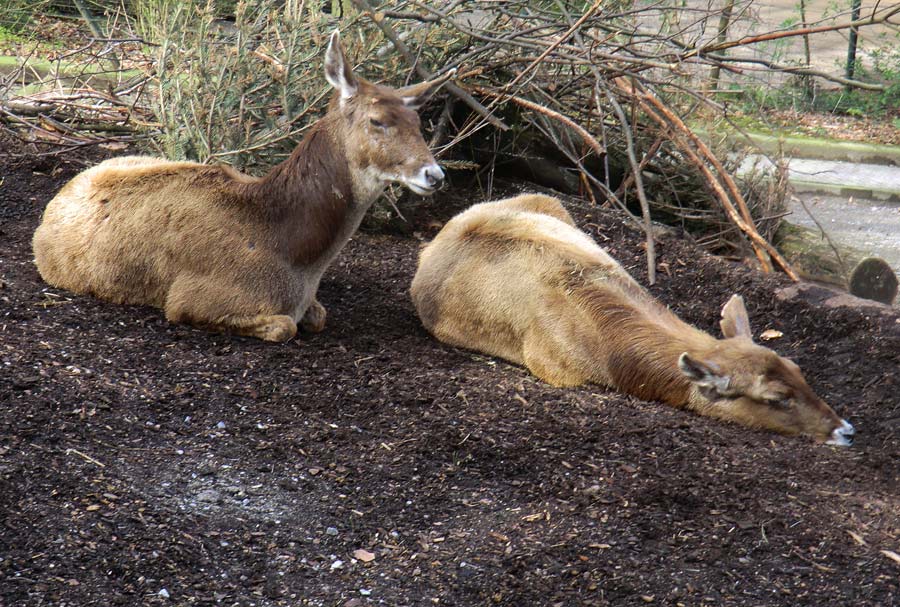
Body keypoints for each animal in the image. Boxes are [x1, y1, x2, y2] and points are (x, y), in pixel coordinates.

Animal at [33, 32, 458, 342]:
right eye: (376, 121)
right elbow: (283, 326)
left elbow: (319, 315)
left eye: (417, 123)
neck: (295, 257)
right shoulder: (191, 298)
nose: (434, 175)